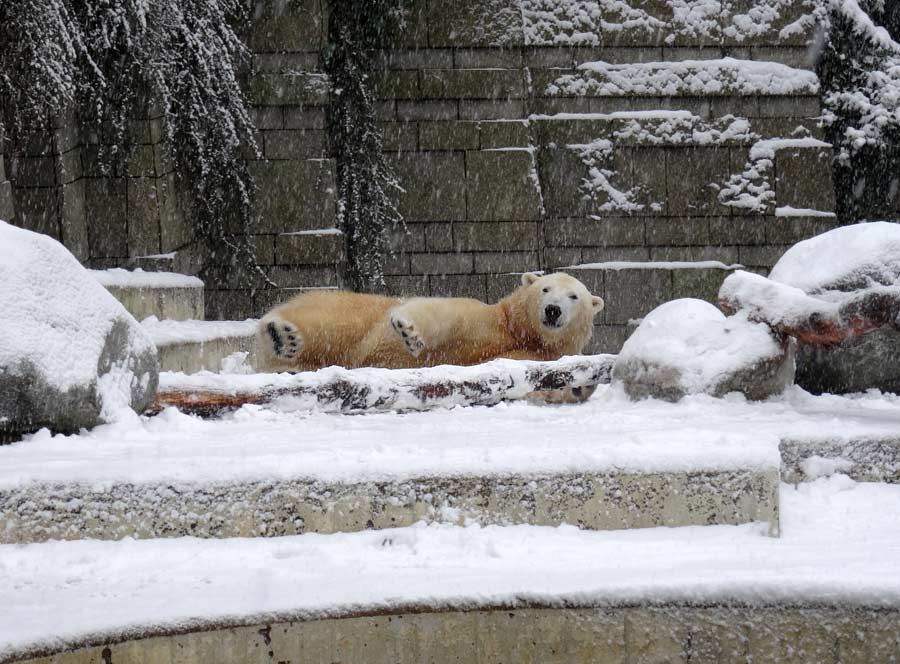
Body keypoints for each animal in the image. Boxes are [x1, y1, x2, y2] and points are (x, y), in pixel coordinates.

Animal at [255, 270, 604, 374]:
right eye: (545, 288)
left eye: (574, 296)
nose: (553, 310)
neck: (518, 330)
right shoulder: (486, 318)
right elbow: (446, 312)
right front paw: (408, 331)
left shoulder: (539, 353)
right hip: (349, 309)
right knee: (328, 323)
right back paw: (281, 335)